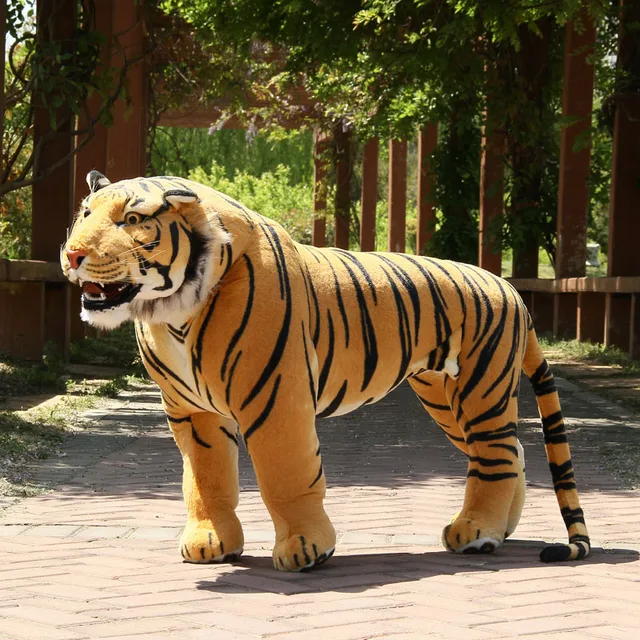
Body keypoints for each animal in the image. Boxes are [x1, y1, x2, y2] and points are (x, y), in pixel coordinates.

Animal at [61, 170, 590, 571]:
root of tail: (511, 289)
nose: (72, 255)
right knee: (511, 451)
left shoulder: (274, 397)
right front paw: (212, 542)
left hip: (481, 387)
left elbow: (286, 474)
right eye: (84, 215)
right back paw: (500, 529)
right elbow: (206, 481)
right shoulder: (194, 413)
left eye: (132, 220)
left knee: (498, 454)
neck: (171, 310)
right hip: (445, 396)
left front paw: (306, 548)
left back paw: (478, 532)